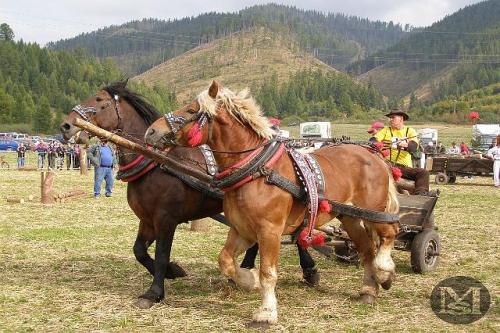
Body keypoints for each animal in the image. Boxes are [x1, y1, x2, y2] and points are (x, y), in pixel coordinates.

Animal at [57, 80, 316, 308]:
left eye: (99, 100)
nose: (66, 126)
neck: (156, 164)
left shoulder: (166, 218)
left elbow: (161, 253)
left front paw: (154, 292)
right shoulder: (147, 220)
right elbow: (139, 251)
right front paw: (173, 271)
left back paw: (309, 270)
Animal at [144, 81, 398, 324]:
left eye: (190, 110)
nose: (151, 131)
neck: (255, 171)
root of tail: (373, 154)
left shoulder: (269, 231)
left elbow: (268, 272)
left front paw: (266, 312)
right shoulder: (242, 230)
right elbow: (225, 260)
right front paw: (249, 280)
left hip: (373, 212)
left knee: (389, 234)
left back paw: (385, 272)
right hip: (350, 217)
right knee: (367, 249)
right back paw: (369, 289)